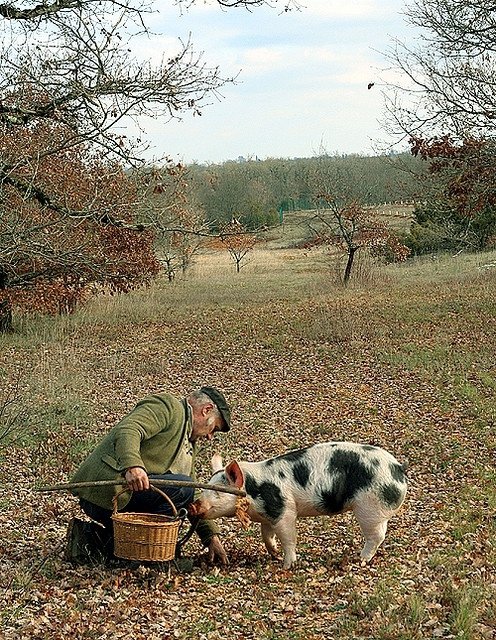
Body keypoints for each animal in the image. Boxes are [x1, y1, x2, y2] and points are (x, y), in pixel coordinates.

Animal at [190, 442, 406, 568]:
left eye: (218, 491)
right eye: (206, 487)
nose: (194, 505)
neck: (253, 490)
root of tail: (398, 469)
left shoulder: (284, 510)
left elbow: (288, 538)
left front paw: (286, 565)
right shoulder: (267, 515)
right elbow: (266, 536)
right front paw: (274, 554)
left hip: (368, 507)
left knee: (376, 536)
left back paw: (359, 559)